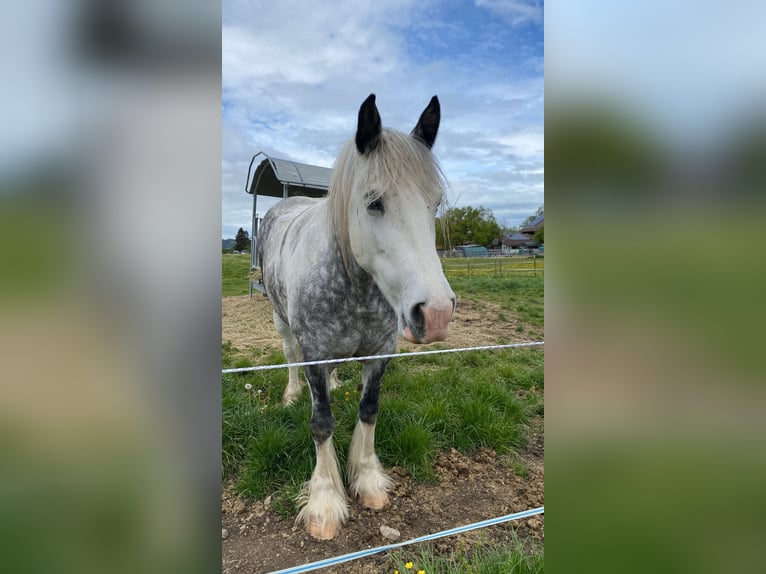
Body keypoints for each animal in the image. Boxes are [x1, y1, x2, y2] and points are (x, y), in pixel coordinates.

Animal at [258, 93, 456, 540]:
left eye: (434, 202)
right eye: (373, 202)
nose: (435, 313)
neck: (357, 286)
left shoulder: (380, 353)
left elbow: (368, 411)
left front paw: (367, 482)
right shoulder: (314, 353)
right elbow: (321, 422)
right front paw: (325, 503)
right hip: (281, 319)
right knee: (289, 355)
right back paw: (291, 394)